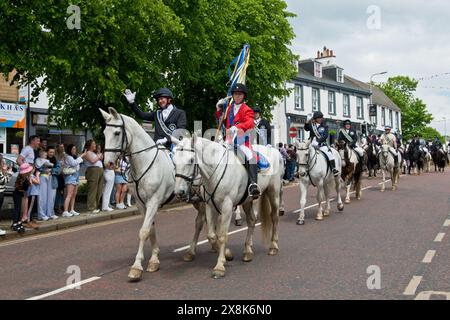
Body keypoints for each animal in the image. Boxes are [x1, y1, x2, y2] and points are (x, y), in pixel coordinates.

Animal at [100, 108, 206, 282]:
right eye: (104, 133)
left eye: (116, 132)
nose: (107, 163)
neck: (144, 163)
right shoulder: (142, 204)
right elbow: (150, 229)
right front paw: (154, 260)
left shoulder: (153, 202)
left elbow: (143, 231)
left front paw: (136, 267)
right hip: (197, 200)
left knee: (200, 222)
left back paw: (195, 250)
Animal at [171, 135, 282, 278]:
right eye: (174, 161)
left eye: (191, 160)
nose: (179, 192)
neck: (215, 171)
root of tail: (273, 149)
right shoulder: (209, 206)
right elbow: (212, 235)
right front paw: (227, 254)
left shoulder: (227, 206)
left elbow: (222, 235)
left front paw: (219, 266)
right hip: (247, 201)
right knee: (252, 220)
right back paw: (247, 251)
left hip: (273, 193)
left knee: (274, 217)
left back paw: (273, 246)